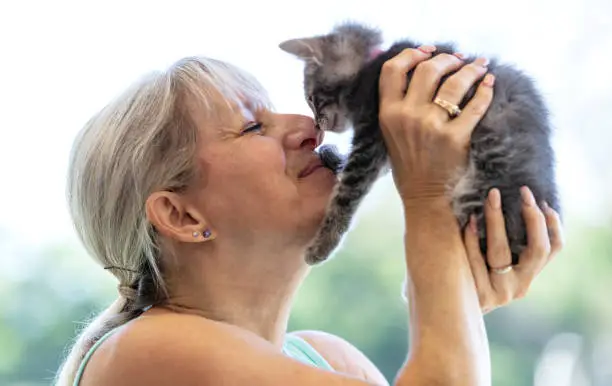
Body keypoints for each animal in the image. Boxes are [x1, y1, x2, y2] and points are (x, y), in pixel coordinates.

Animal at [280, 22, 560, 266]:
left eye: (312, 99)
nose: (318, 126)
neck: (373, 65)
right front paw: (333, 158)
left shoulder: (371, 135)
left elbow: (346, 194)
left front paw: (322, 245)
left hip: (481, 195)